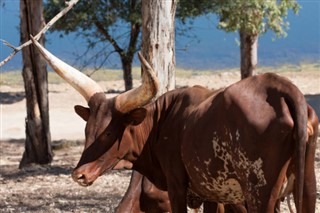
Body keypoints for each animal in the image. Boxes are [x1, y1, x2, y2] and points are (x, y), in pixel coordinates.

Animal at [31, 38, 316, 213]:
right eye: (87, 129)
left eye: (110, 131)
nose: (79, 175)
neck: (161, 122)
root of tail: (281, 87)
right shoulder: (212, 195)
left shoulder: (177, 187)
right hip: (307, 184)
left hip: (260, 190)